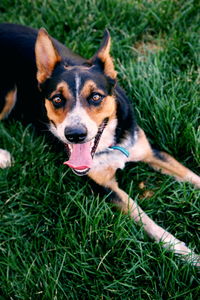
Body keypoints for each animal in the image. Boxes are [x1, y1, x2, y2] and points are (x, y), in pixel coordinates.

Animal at [0, 23, 200, 264]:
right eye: (57, 99)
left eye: (96, 97)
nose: (75, 134)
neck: (108, 144)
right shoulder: (105, 187)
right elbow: (142, 215)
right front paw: (181, 250)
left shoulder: (151, 152)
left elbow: (190, 175)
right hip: (7, 95)